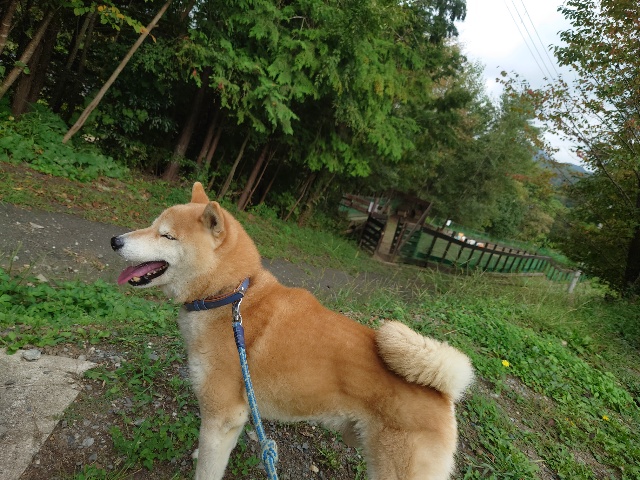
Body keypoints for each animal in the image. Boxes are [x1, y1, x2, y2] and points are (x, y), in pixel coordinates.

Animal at [110, 182, 473, 479]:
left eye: (166, 236)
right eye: (153, 226)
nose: (115, 240)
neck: (228, 296)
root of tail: (444, 392)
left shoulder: (222, 414)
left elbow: (209, 470)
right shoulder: (234, 418)